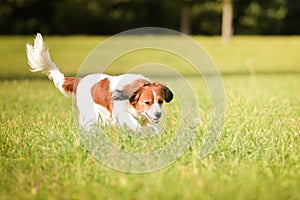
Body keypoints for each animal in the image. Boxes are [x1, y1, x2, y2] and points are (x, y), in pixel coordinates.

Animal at [26, 33, 173, 132]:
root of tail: (80, 80)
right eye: (147, 102)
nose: (158, 114)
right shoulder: (121, 114)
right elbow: (135, 126)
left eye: (160, 101)